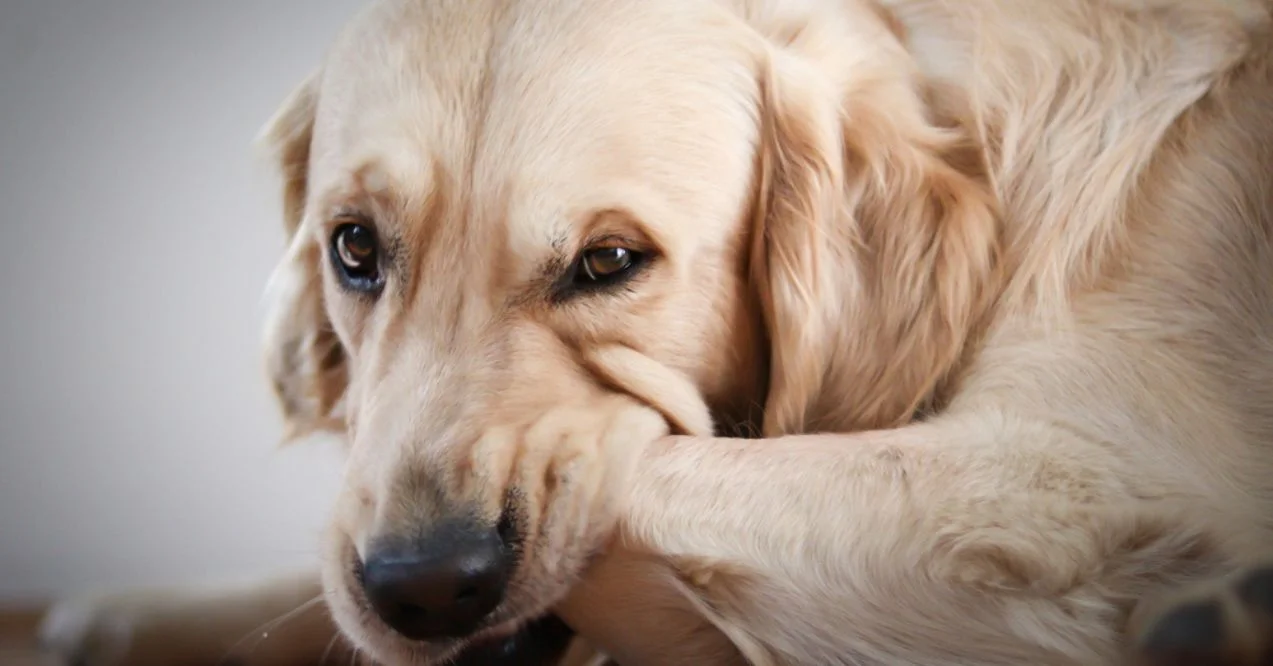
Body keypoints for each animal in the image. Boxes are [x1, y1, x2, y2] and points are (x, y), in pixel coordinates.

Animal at [34, 0, 1273, 662]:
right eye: (353, 249)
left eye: (609, 262)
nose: (421, 586)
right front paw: (135, 613)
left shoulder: (1078, 482)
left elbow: (654, 472)